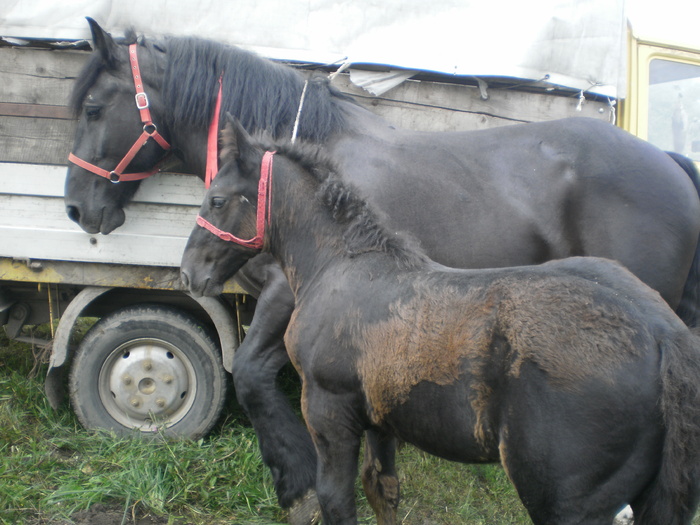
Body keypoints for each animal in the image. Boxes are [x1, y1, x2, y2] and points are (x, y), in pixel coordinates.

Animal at [180, 119, 700, 524]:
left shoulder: (328, 409)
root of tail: (662, 333)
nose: (189, 273)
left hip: (566, 502)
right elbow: (382, 488)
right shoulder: (379, 417)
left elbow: (336, 500)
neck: (340, 265)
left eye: (217, 200)